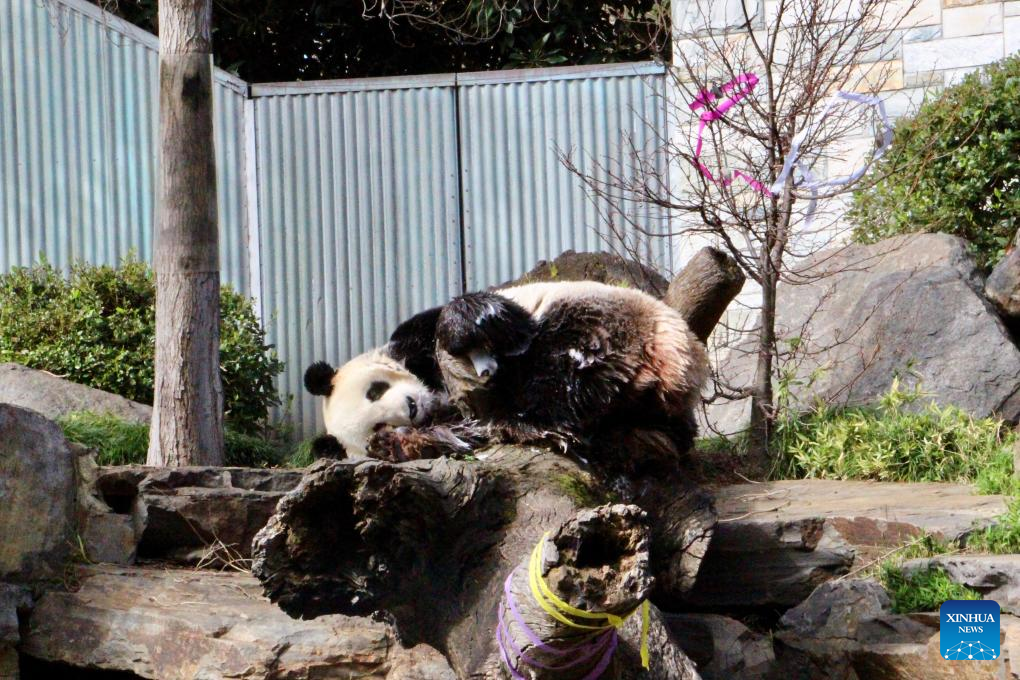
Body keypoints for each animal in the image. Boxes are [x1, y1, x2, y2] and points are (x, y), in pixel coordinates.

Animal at [301, 281, 709, 462]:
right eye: (377, 424)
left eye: (375, 390)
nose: (413, 409)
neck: (436, 392)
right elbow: (454, 432)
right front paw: (395, 443)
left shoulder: (414, 345)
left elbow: (445, 323)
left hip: (604, 318)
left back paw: (533, 419)